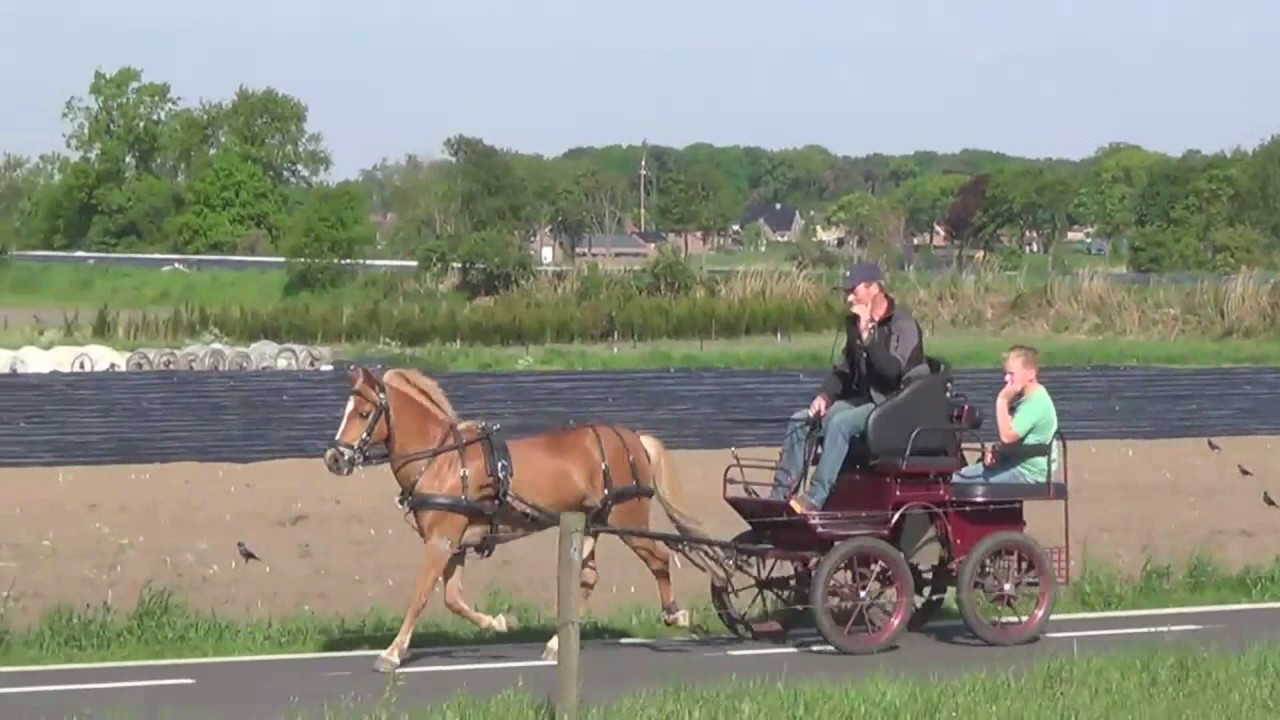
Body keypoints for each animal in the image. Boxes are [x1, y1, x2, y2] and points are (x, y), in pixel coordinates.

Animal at [321, 366, 727, 673]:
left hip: (629, 519)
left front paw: (392, 653)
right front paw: (499, 623)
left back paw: (676, 615)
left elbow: (421, 595)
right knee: (589, 579)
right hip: (591, 523)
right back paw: (557, 644)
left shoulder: (441, 542)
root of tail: (633, 438)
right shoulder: (454, 545)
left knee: (659, 558)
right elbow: (452, 599)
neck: (443, 460)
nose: (334, 459)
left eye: (362, 413)